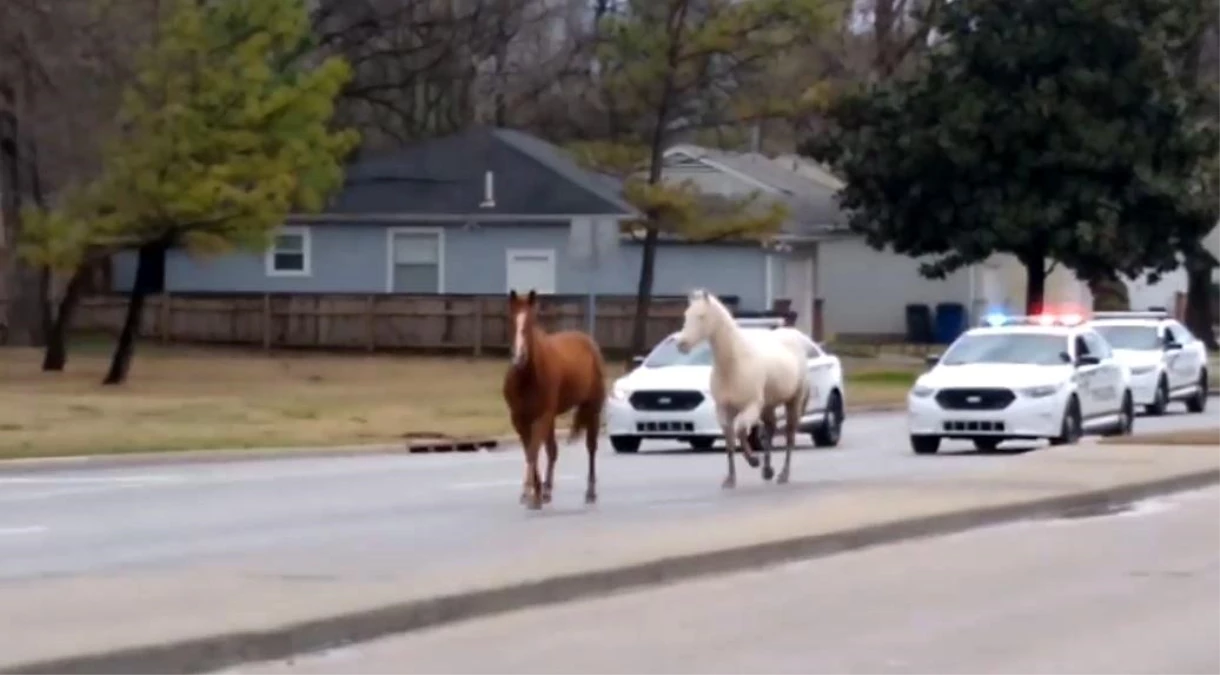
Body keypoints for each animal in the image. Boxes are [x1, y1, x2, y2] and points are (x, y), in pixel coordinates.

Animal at [500, 286, 605, 507]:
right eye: (511, 320)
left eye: (531, 322)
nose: (519, 357)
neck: (527, 376)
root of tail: (588, 341)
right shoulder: (519, 419)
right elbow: (530, 451)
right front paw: (537, 492)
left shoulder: (542, 416)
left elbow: (533, 451)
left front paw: (528, 493)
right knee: (552, 450)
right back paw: (547, 490)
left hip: (592, 409)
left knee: (591, 447)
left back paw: (590, 492)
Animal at [678, 286, 810, 485]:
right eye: (686, 315)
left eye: (701, 316)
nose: (681, 344)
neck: (735, 364)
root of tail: (795, 336)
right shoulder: (723, 409)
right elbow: (730, 441)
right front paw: (730, 479)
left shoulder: (751, 406)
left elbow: (740, 431)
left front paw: (754, 460)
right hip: (768, 405)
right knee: (770, 429)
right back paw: (768, 471)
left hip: (793, 401)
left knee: (789, 435)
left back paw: (782, 474)